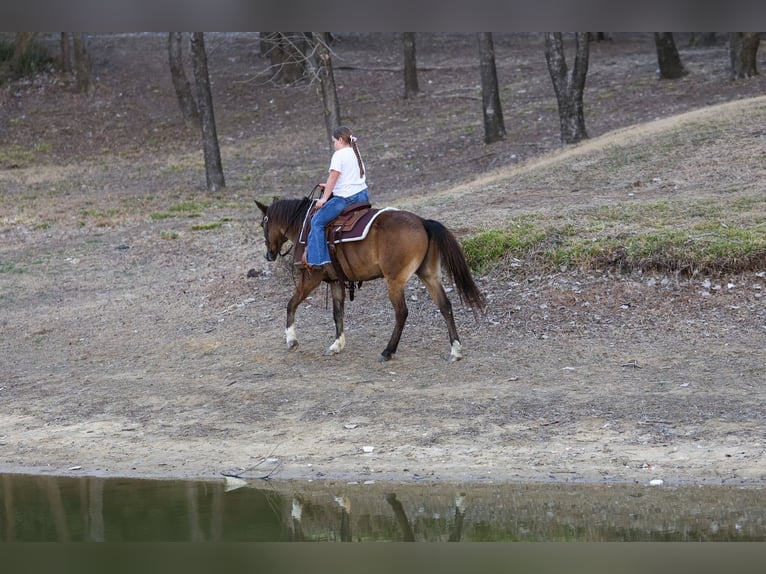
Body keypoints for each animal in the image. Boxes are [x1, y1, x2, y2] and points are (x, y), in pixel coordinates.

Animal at [255, 197, 485, 362]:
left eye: (262, 224)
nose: (269, 255)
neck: (305, 225)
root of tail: (422, 222)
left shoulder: (311, 277)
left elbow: (291, 304)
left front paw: (291, 340)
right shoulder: (336, 281)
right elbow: (337, 313)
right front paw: (336, 345)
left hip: (394, 281)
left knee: (401, 313)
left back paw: (388, 351)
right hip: (429, 275)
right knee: (445, 306)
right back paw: (455, 350)